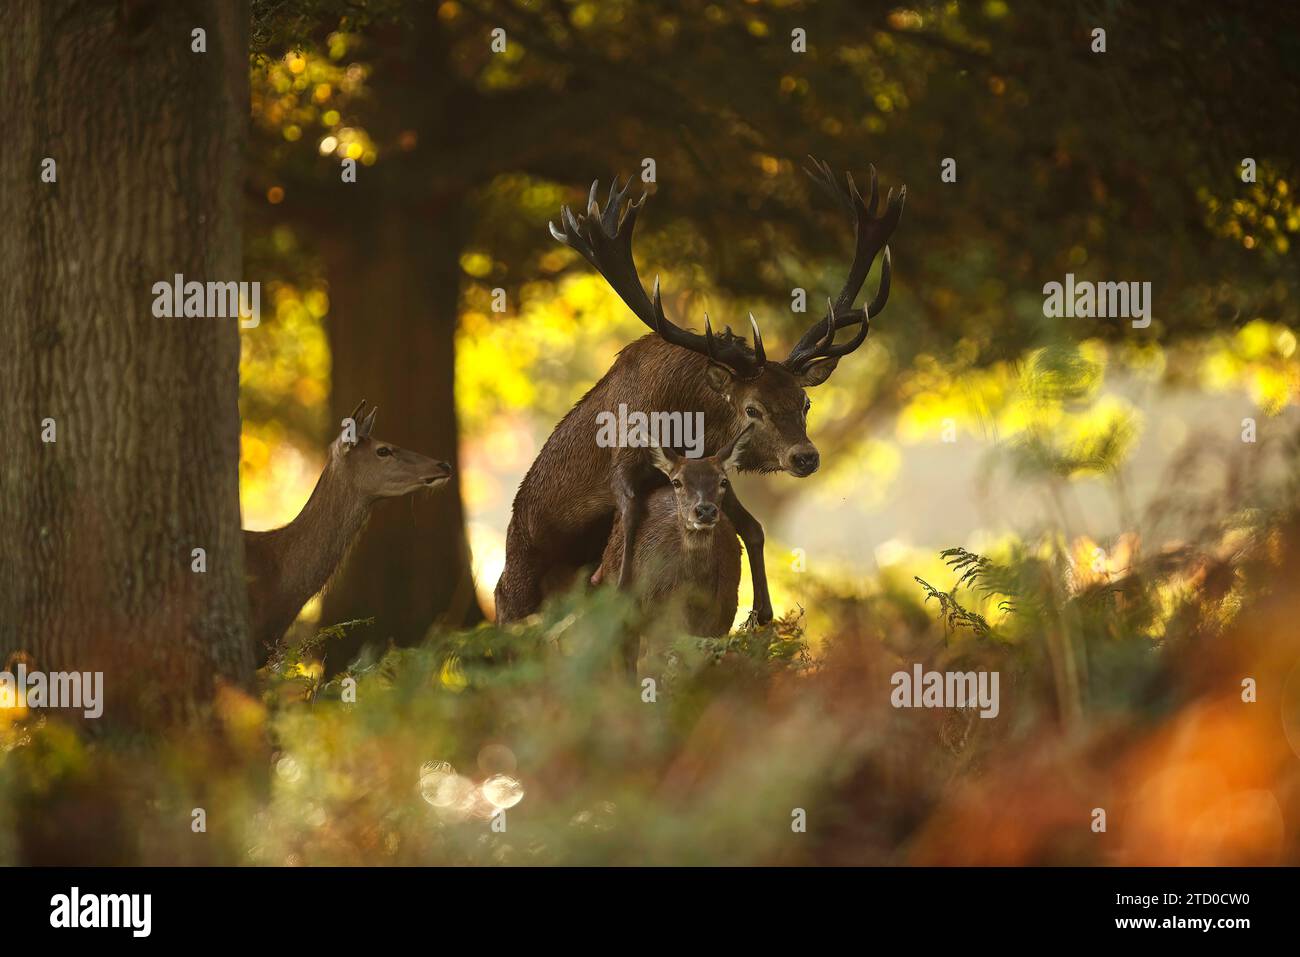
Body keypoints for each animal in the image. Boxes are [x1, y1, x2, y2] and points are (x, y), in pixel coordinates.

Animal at [494, 158, 904, 626]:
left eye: (805, 403)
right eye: (752, 409)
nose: (805, 456)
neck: (683, 417)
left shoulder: (712, 464)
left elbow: (753, 528)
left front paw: (761, 612)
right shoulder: (624, 455)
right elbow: (629, 520)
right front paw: (622, 590)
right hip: (514, 582)